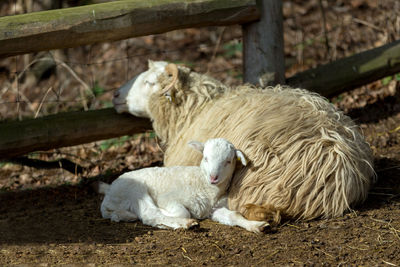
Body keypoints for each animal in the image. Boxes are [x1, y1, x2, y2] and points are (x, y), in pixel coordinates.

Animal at [98, 139, 270, 233]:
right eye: (205, 158)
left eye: (228, 161)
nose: (213, 177)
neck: (205, 185)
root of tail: (107, 199)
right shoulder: (168, 198)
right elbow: (182, 211)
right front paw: (180, 217)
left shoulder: (214, 208)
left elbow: (234, 215)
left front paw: (256, 225)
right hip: (134, 190)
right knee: (150, 214)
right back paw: (185, 223)